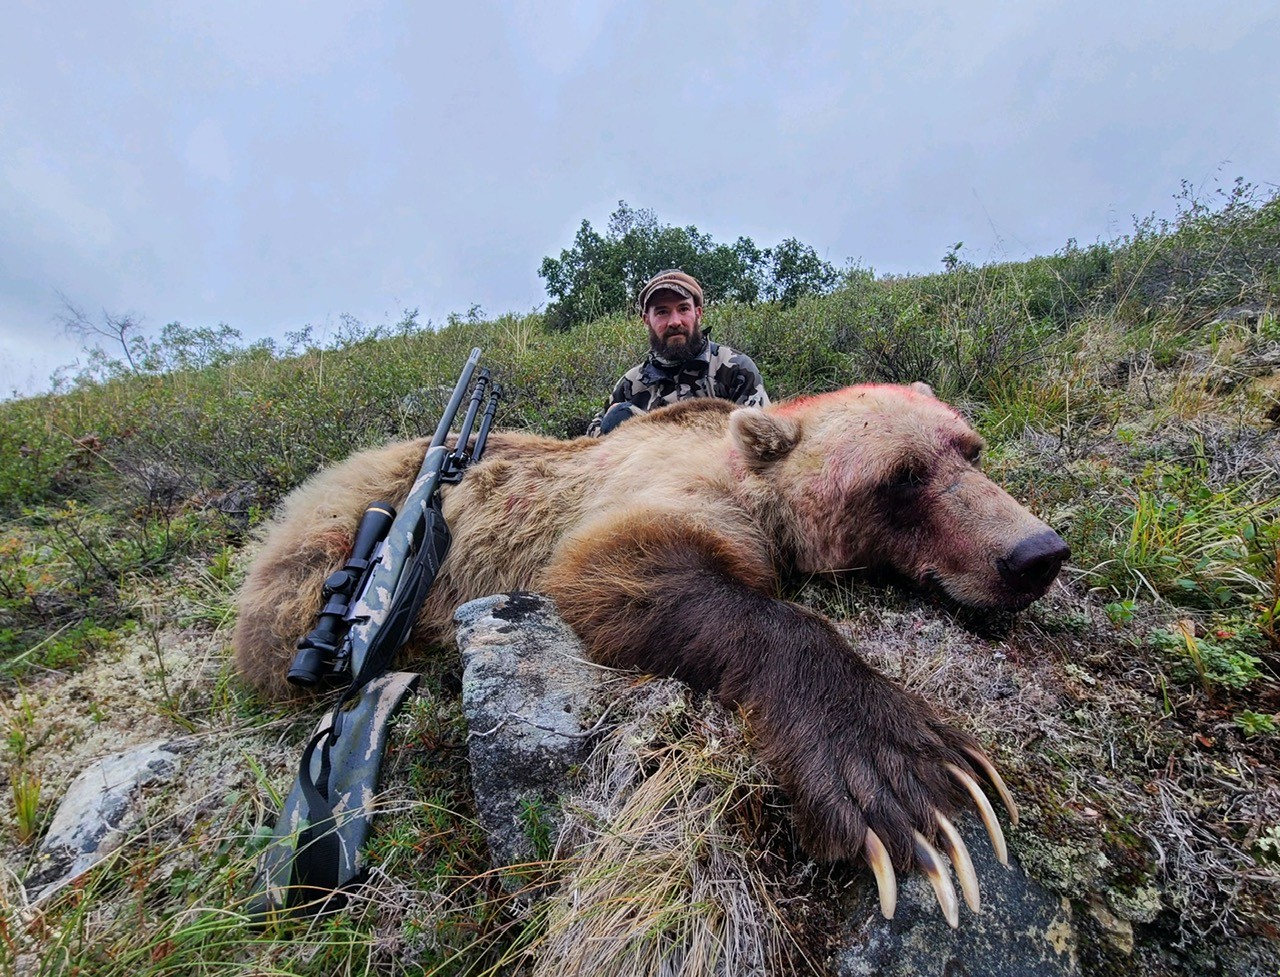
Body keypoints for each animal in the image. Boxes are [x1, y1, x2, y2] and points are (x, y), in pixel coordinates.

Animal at [232, 383, 1069, 923]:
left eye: (969, 447)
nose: (1036, 551)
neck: (741, 465)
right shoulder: (652, 494)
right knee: (282, 619)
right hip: (332, 535)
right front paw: (905, 778)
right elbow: (619, 569)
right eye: (902, 476)